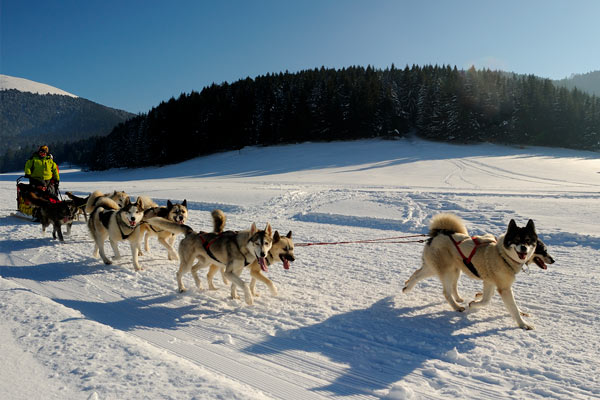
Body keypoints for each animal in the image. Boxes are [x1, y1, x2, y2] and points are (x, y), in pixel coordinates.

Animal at [400, 212, 552, 328]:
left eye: (528, 240)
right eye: (517, 239)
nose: (553, 260)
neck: (502, 255)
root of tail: (439, 234)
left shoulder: (490, 283)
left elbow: (487, 299)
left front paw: (475, 301)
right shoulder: (504, 288)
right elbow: (510, 307)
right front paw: (523, 324)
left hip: (446, 269)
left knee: (418, 274)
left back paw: (408, 287)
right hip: (446, 271)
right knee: (446, 292)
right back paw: (456, 306)